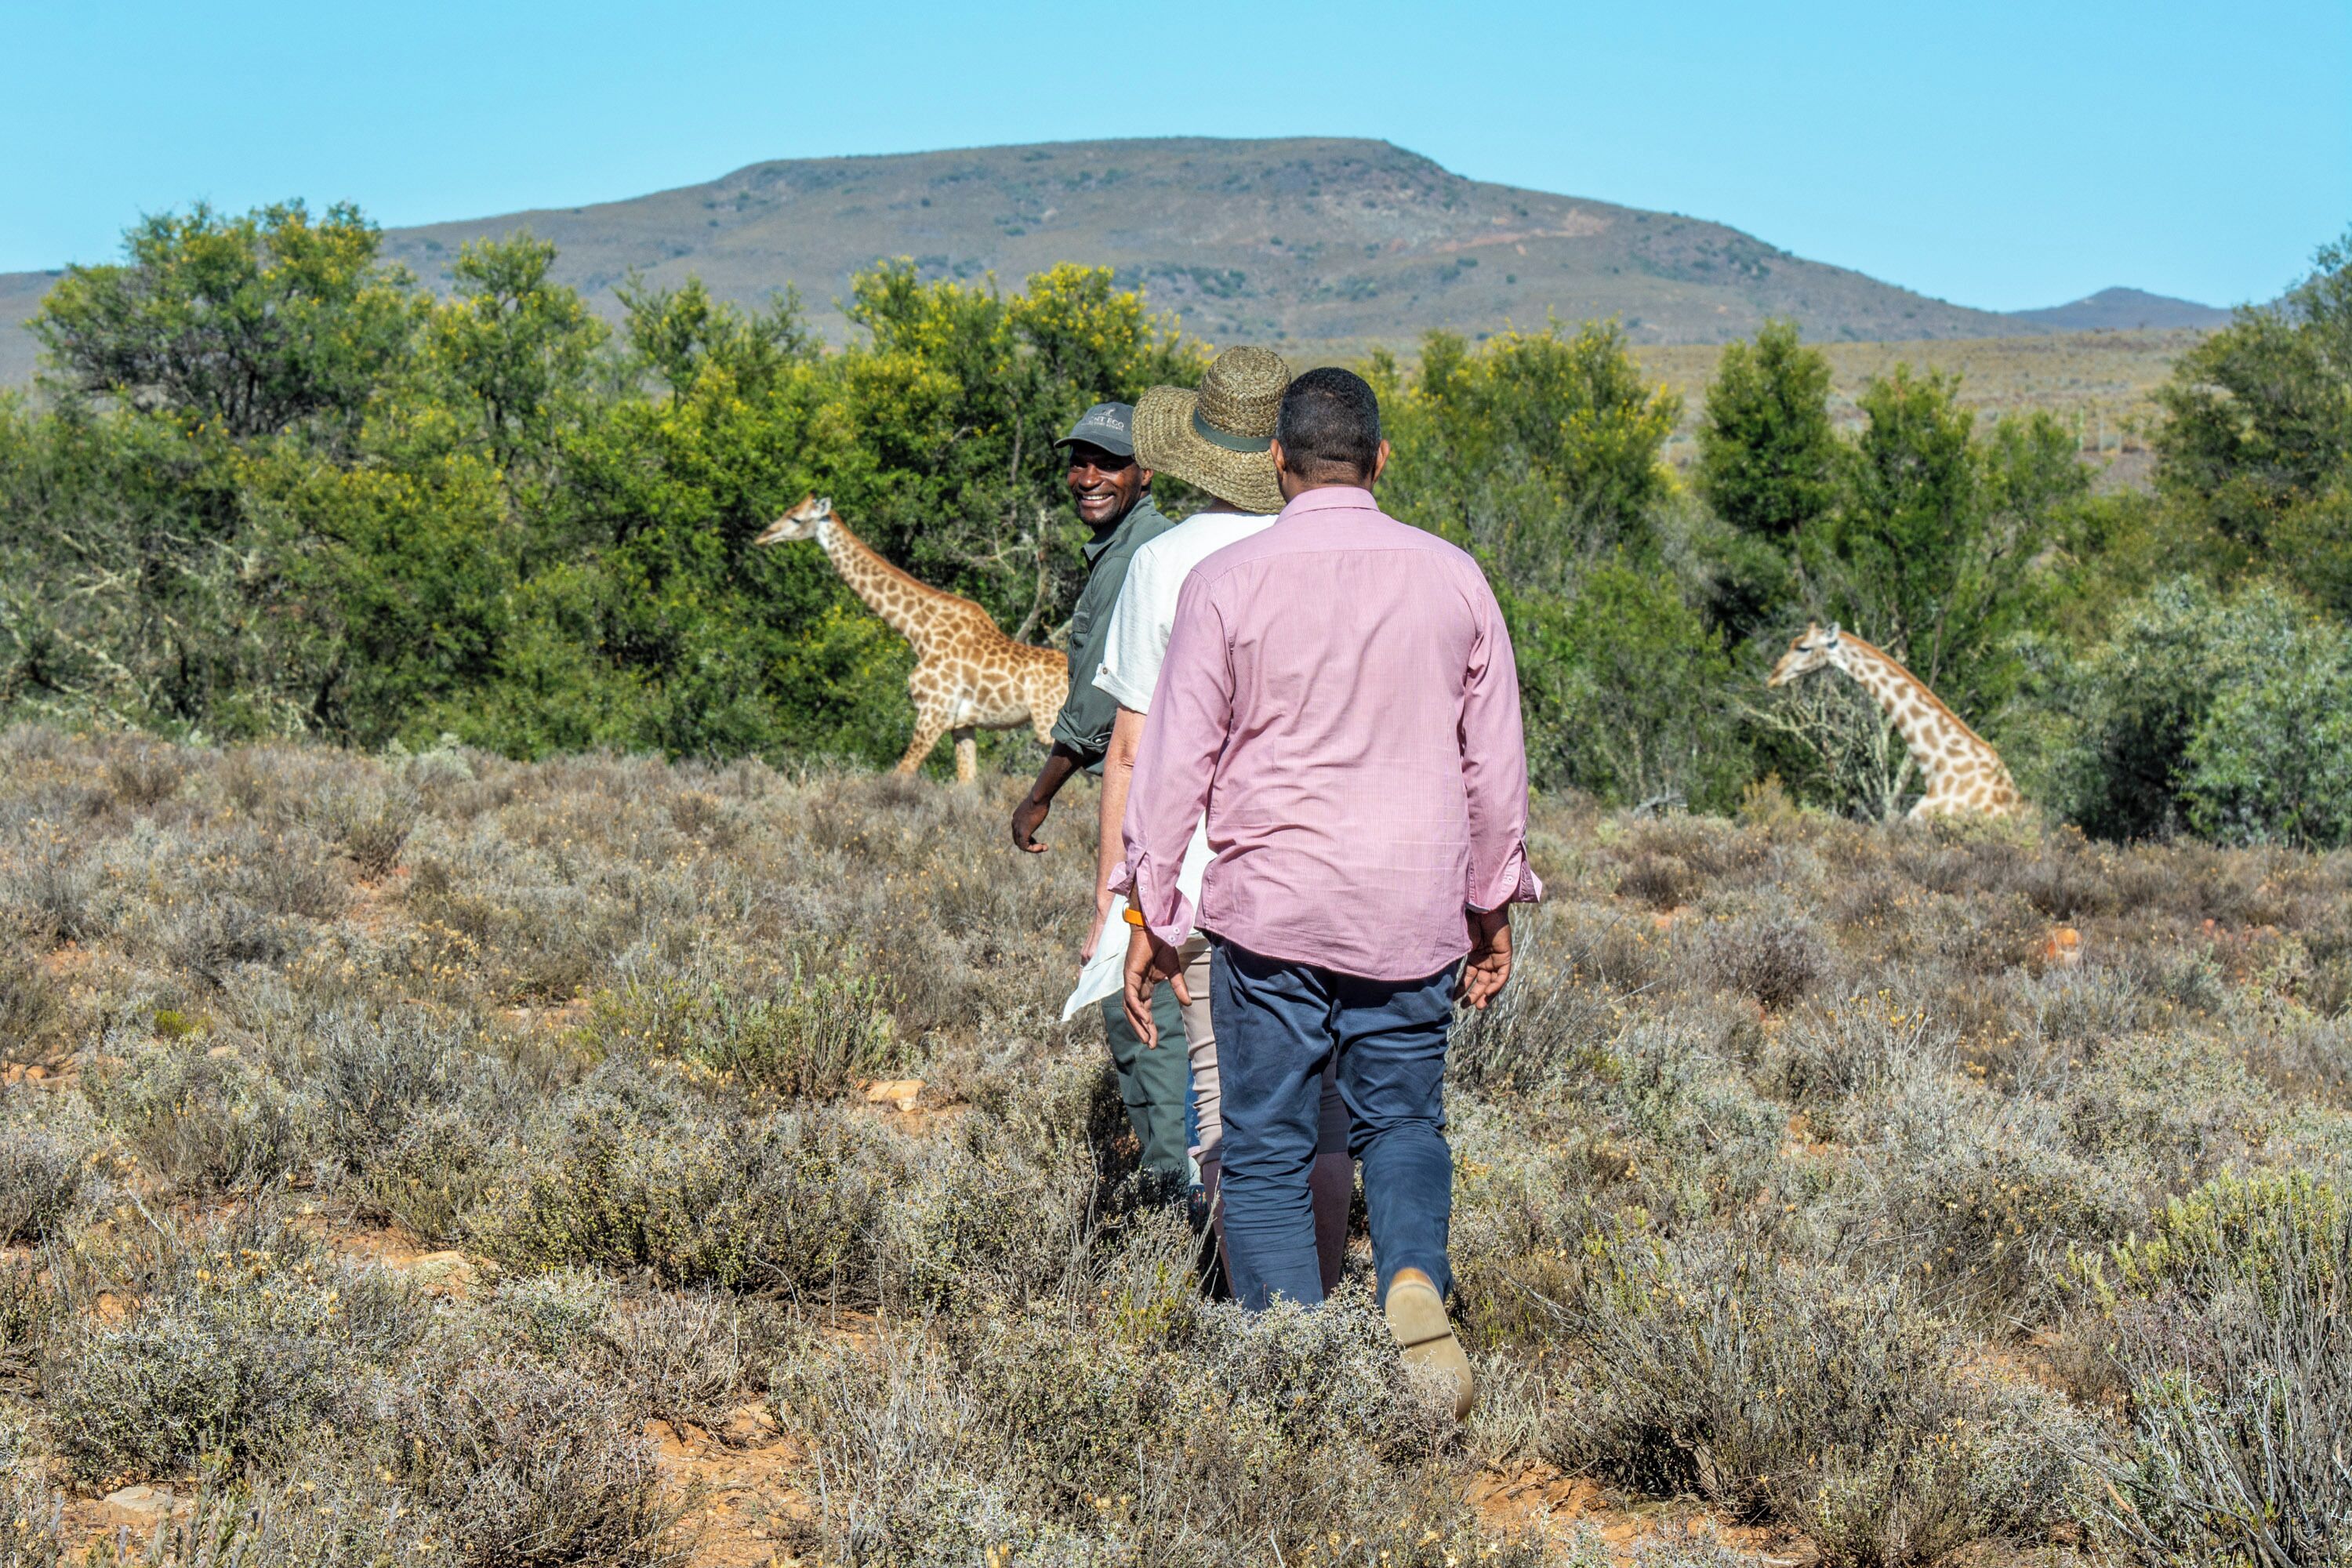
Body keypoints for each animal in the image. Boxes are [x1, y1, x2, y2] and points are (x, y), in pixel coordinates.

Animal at [755, 495, 1068, 782]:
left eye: (796, 518)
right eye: (789, 510)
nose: (763, 537)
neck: (918, 631)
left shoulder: (933, 712)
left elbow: (900, 775)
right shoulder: (961, 724)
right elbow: (967, 785)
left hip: (1048, 724)